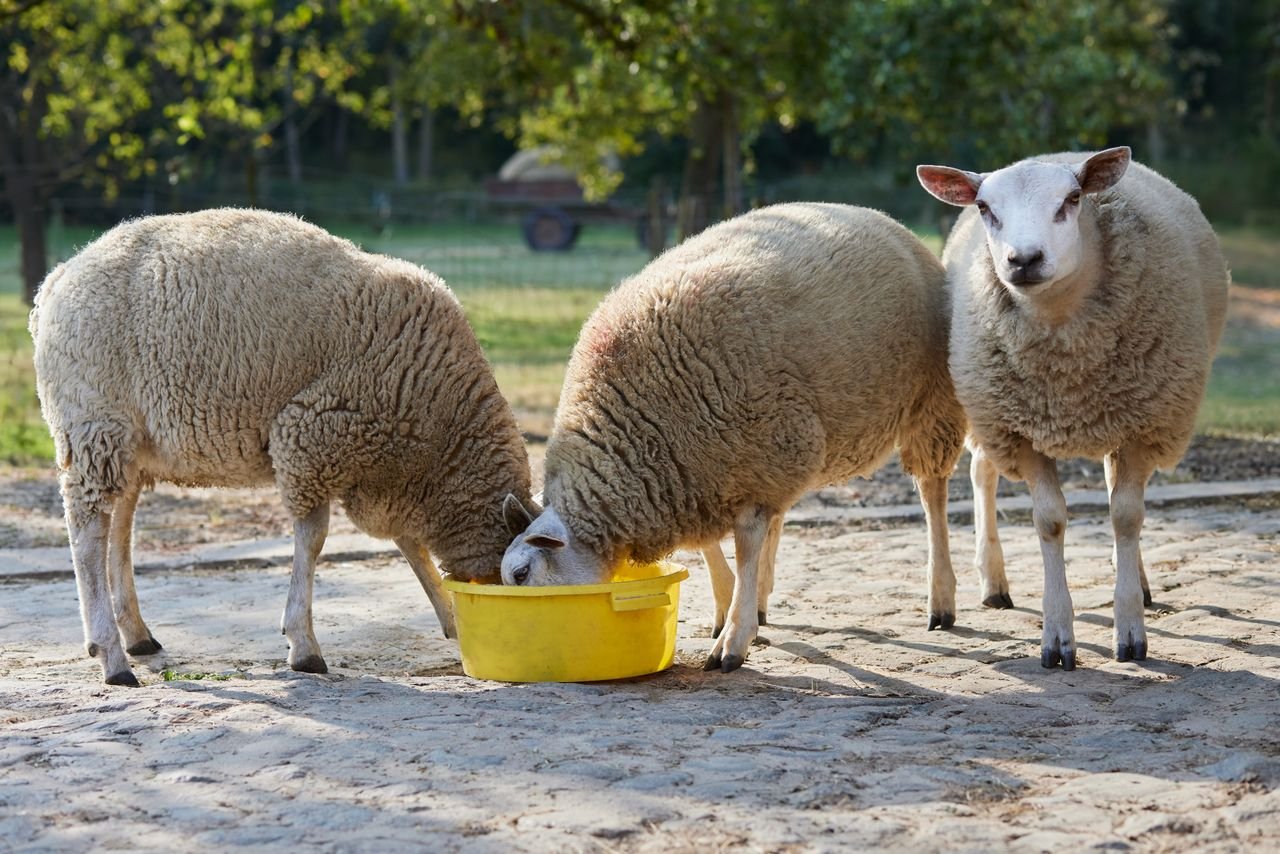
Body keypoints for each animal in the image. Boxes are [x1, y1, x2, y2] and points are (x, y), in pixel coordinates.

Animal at [30, 208, 534, 686]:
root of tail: (57, 279)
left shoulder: (386, 472)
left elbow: (408, 543)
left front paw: (450, 618)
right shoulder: (309, 438)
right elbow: (314, 538)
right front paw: (304, 645)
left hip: (132, 441)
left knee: (119, 525)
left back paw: (136, 635)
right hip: (95, 422)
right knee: (88, 530)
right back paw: (111, 656)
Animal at [499, 202, 968, 672]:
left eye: (521, 574)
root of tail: (877, 217)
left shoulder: (748, 457)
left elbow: (745, 546)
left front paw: (734, 640)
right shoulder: (694, 476)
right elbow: (712, 546)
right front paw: (730, 610)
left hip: (930, 403)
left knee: (932, 494)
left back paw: (941, 600)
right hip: (788, 450)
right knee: (780, 517)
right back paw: (762, 596)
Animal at [917, 147, 1230, 670]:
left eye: (1072, 199)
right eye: (985, 207)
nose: (1023, 259)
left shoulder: (1143, 423)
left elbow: (1125, 515)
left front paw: (1131, 631)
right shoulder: (1019, 429)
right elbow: (1050, 521)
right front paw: (1058, 637)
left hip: (1110, 411)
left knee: (1110, 485)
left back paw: (1135, 578)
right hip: (986, 406)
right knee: (979, 473)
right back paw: (982, 587)